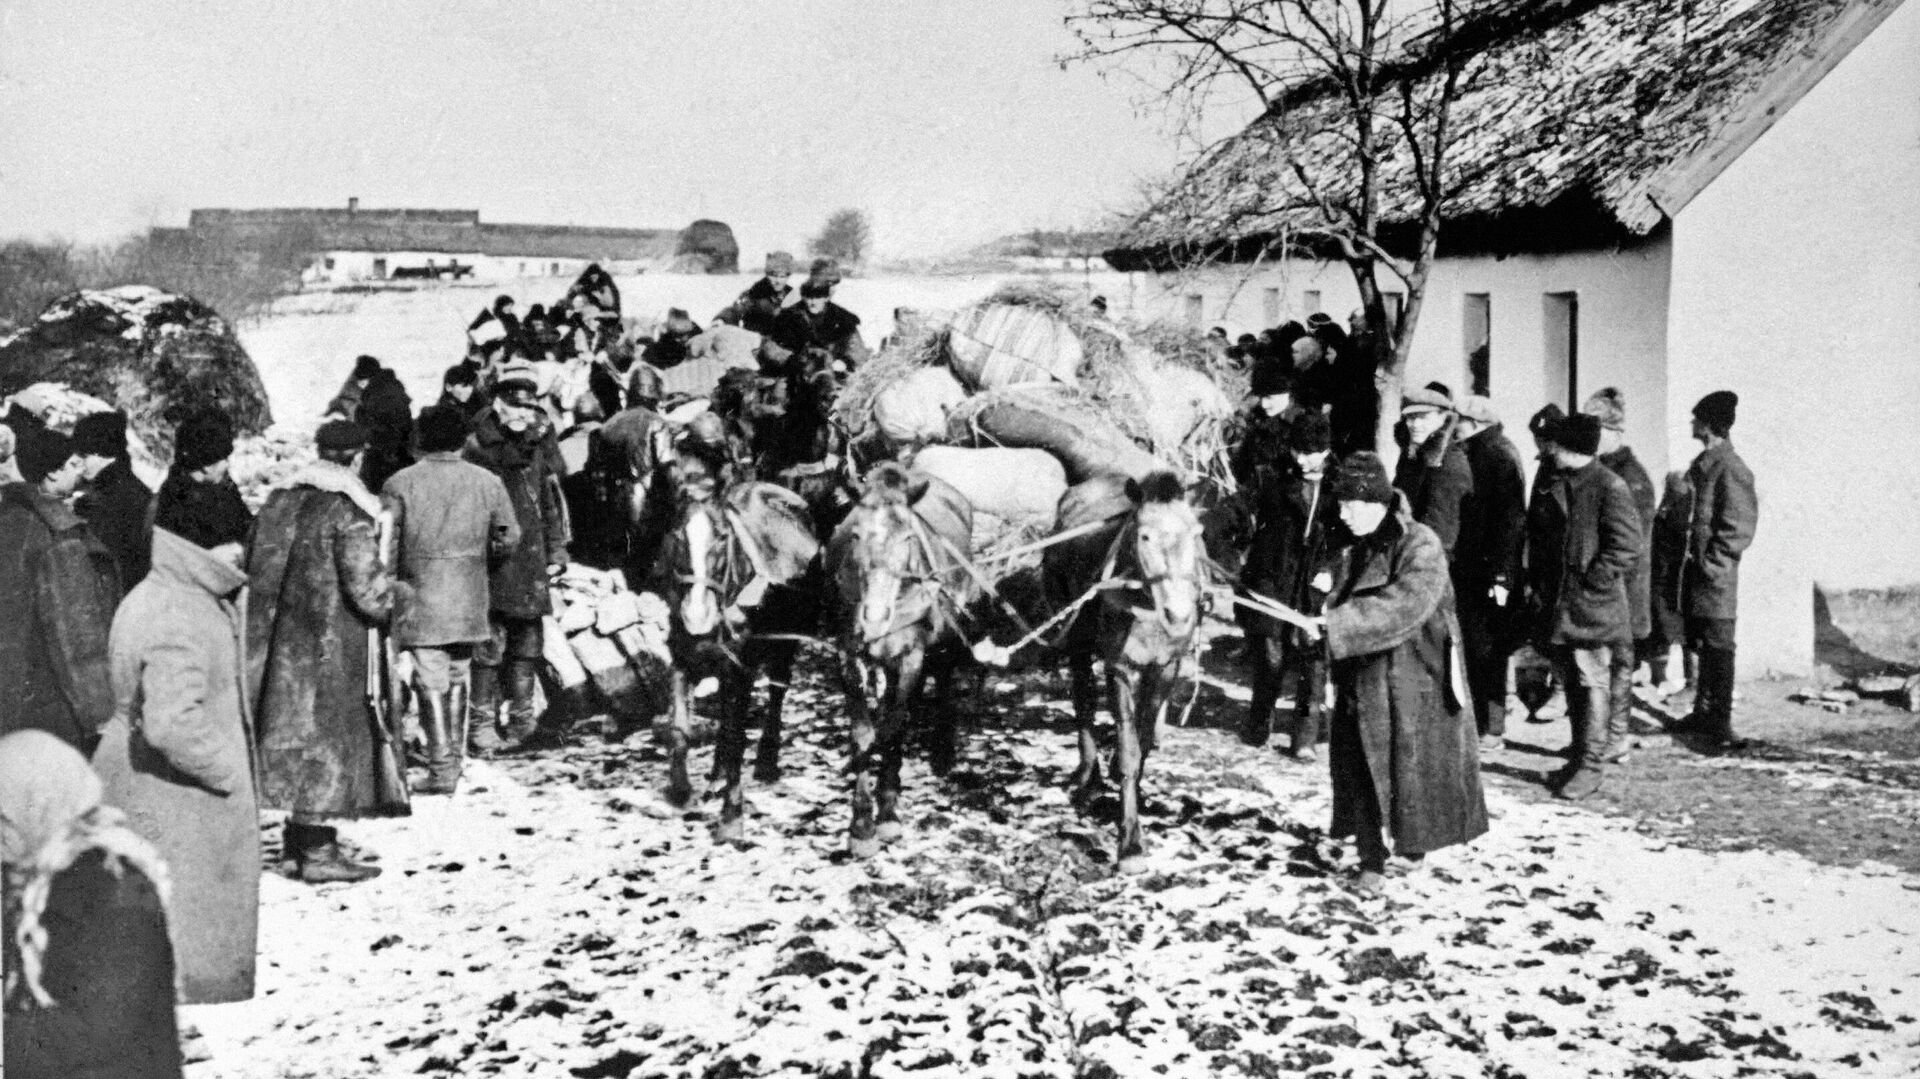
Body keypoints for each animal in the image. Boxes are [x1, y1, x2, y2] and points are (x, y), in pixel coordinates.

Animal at [656, 441, 821, 837]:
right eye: (678, 536)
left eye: (721, 536)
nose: (696, 616)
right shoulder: (683, 660)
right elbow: (680, 730)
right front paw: (681, 790)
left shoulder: (741, 668)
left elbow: (735, 737)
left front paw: (732, 816)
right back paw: (716, 778)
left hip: (788, 640)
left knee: (778, 688)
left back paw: (766, 762)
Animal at [821, 462, 975, 856]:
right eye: (856, 534)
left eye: (907, 537)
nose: (875, 617)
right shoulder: (848, 654)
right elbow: (863, 734)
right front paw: (861, 825)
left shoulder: (911, 657)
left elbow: (893, 728)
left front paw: (887, 812)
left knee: (942, 674)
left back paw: (942, 750)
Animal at [1044, 466, 1205, 867]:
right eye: (1144, 534)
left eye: (1196, 534)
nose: (1178, 615)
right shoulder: (1120, 666)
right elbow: (1130, 750)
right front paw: (1130, 841)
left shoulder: (1165, 667)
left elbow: (1143, 741)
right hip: (1077, 639)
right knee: (1083, 700)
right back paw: (1088, 774)